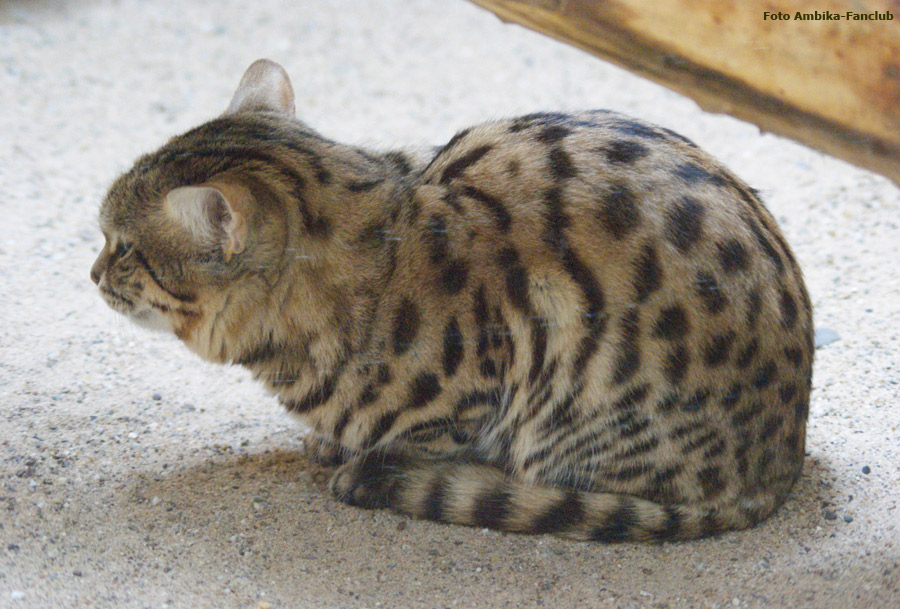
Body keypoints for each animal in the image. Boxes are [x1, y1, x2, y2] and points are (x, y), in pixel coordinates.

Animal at [93, 59, 816, 540]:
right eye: (105, 238)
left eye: (123, 248)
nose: (93, 271)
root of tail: (779, 471)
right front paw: (332, 443)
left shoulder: (475, 398)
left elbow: (421, 442)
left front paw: (362, 459)